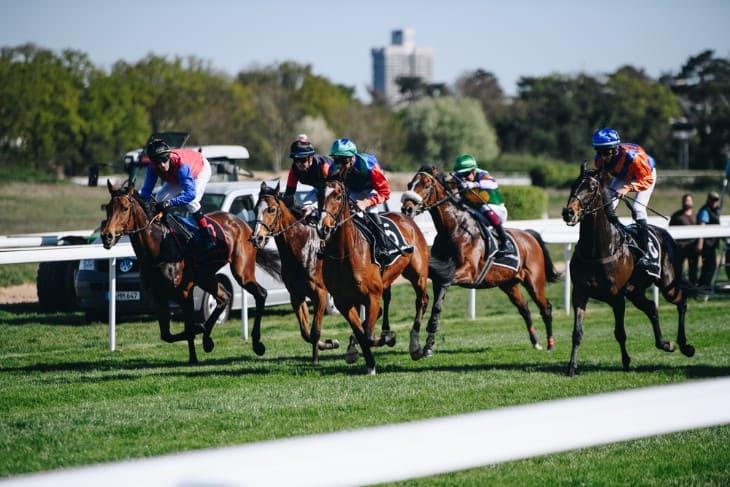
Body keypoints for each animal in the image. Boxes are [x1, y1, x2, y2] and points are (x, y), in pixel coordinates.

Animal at [98, 179, 278, 362]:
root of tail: (244, 224)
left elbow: (189, 327)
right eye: (108, 208)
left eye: (125, 208)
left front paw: (195, 350)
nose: (107, 236)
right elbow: (167, 335)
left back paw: (256, 343)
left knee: (260, 294)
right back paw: (208, 339)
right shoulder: (158, 295)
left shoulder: (184, 291)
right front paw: (201, 341)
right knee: (224, 297)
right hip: (206, 277)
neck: (158, 248)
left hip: (241, 272)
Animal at [252, 183, 340, 366]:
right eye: (255, 209)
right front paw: (328, 344)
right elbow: (305, 332)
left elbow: (315, 330)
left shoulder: (320, 293)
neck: (302, 249)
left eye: (271, 209)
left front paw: (316, 359)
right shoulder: (296, 295)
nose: (257, 238)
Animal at [316, 181, 430, 376]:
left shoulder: (372, 296)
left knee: (421, 301)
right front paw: (368, 361)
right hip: (387, 280)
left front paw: (388, 338)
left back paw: (414, 346)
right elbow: (361, 333)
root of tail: (407, 218)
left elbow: (368, 334)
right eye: (319, 195)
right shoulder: (343, 302)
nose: (323, 228)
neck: (345, 254)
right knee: (386, 304)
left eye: (338, 196)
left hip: (418, 276)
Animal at [398, 166, 556, 356]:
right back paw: (536, 342)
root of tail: (529, 236)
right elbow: (437, 305)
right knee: (524, 308)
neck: (454, 229)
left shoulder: (467, 272)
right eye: (410, 184)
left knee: (545, 307)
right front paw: (428, 345)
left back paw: (550, 344)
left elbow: (437, 303)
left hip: (534, 281)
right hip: (509, 283)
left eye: (427, 185)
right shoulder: (440, 278)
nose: (407, 208)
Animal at [560, 162, 692, 376]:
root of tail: (665, 232)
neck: (597, 250)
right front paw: (572, 367)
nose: (568, 212)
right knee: (652, 307)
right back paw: (665, 344)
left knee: (681, 301)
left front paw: (626, 361)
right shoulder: (580, 293)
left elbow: (620, 333)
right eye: (573, 185)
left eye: (592, 187)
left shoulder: (617, 297)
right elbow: (577, 333)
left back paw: (685, 346)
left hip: (667, 284)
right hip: (635, 291)